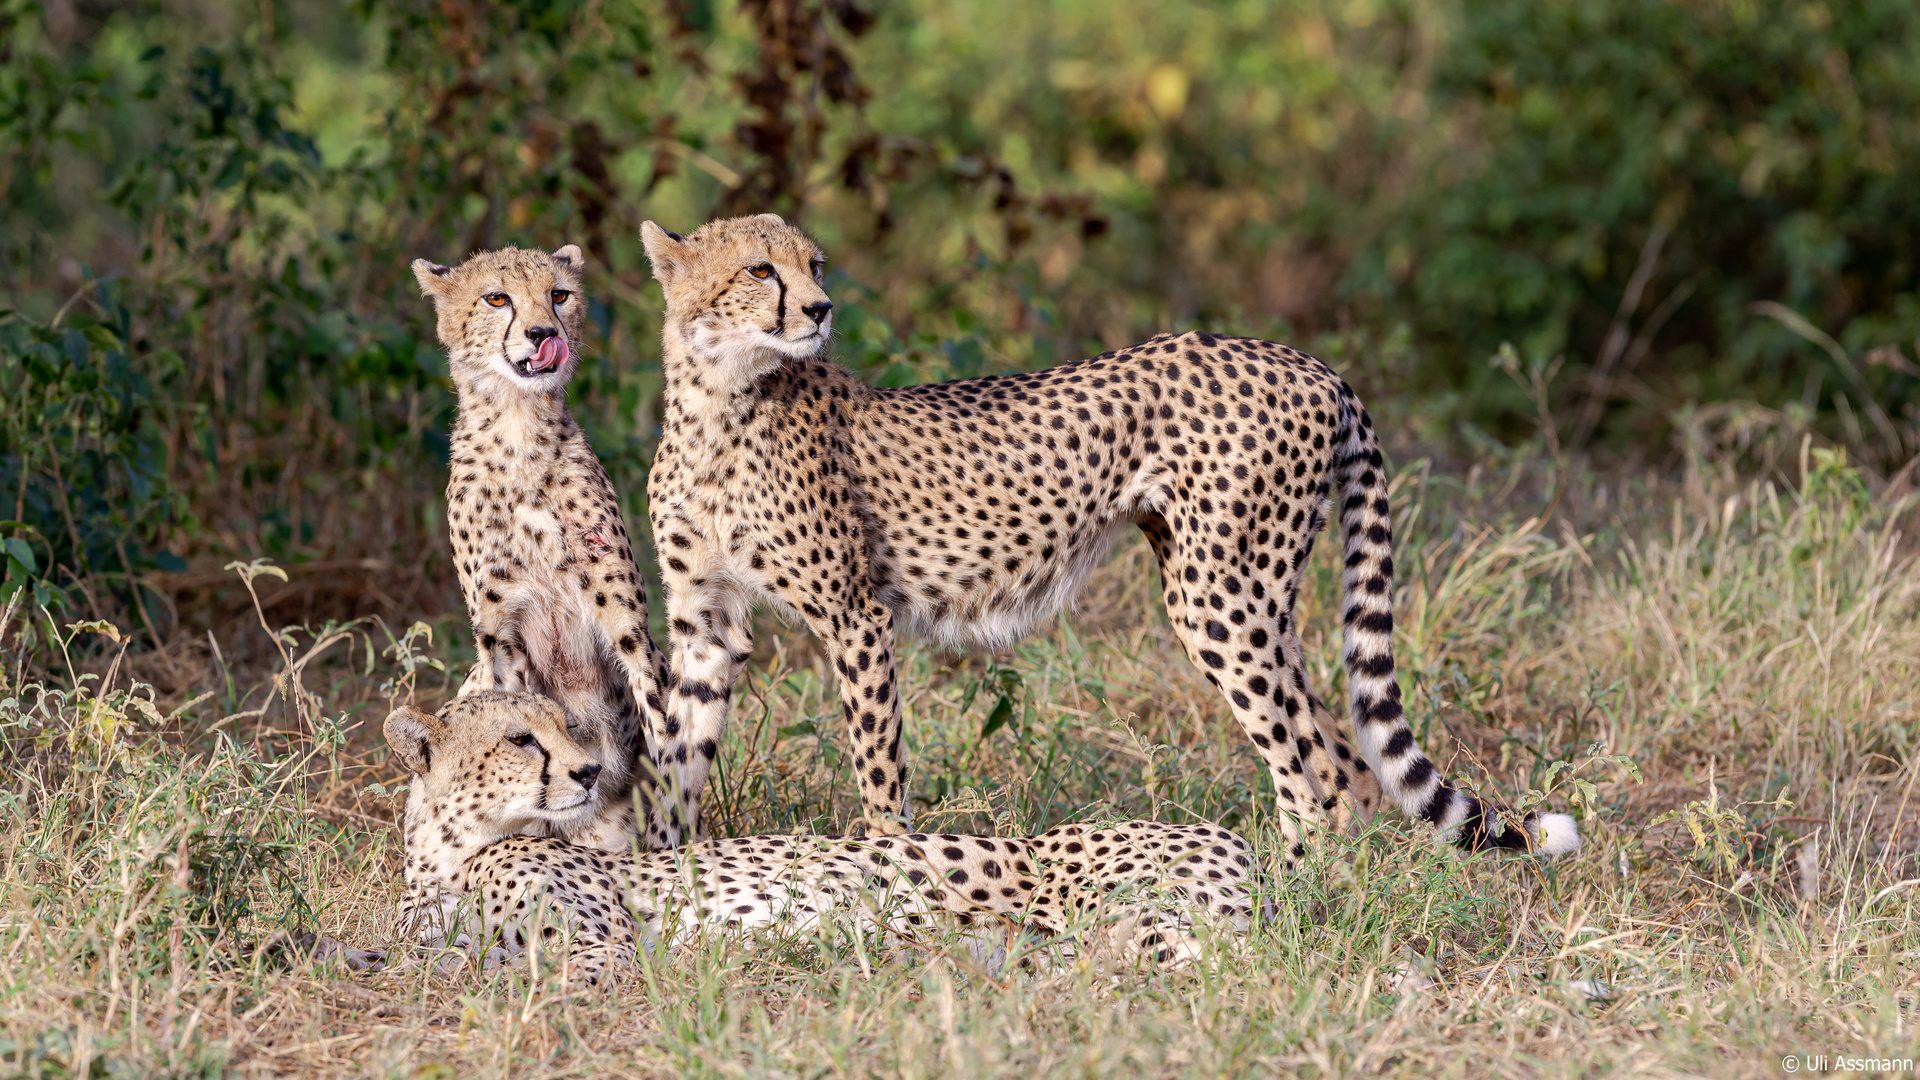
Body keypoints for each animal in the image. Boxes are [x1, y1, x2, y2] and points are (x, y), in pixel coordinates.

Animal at [410, 244, 675, 849]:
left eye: (559, 294)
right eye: (496, 298)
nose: (542, 332)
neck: (518, 429)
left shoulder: (628, 628)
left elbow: (665, 745)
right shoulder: (500, 638)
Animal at [637, 212, 1582, 864]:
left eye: (815, 265)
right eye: (761, 268)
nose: (823, 307)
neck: (720, 399)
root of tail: (1309, 363)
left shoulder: (854, 616)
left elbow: (877, 769)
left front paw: (890, 875)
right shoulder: (706, 625)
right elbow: (675, 751)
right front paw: (661, 872)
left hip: (1218, 597)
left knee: (1310, 767)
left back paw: (1293, 892)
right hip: (1249, 593)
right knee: (1343, 760)